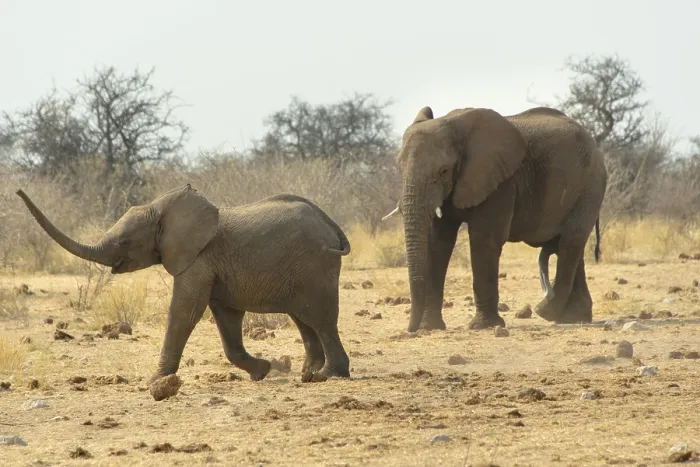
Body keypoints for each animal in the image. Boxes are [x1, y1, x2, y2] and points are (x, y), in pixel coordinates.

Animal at [16, 184, 352, 383]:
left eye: (125, 242)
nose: (18, 191)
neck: (161, 207)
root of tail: (331, 224)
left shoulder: (198, 259)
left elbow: (184, 311)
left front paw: (156, 382)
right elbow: (226, 320)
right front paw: (263, 370)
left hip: (315, 266)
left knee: (321, 319)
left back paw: (327, 375)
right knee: (304, 319)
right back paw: (308, 372)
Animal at [383, 105, 607, 332]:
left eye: (443, 171)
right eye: (399, 169)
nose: (411, 329)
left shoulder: (501, 182)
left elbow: (484, 239)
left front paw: (482, 326)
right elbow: (438, 243)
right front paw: (430, 327)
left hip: (590, 186)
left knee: (571, 241)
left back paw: (545, 312)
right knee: (568, 245)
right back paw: (573, 318)